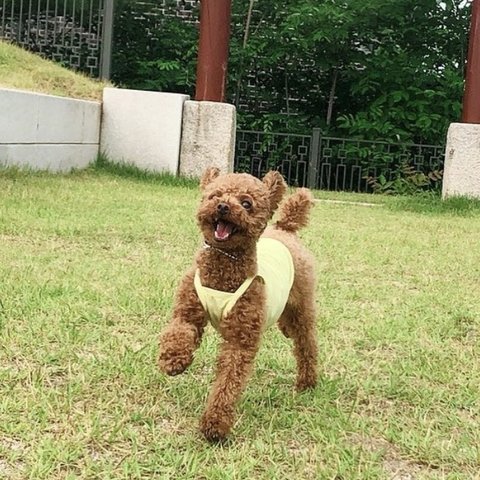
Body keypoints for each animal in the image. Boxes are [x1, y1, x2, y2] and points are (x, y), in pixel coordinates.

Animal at [158, 167, 318, 441]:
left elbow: (228, 381)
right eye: (215, 195)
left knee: (306, 342)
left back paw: (307, 382)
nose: (223, 206)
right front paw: (174, 361)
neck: (224, 266)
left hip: (301, 305)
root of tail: (284, 229)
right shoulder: (188, 309)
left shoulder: (240, 340)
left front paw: (215, 425)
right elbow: (180, 330)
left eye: (246, 203)